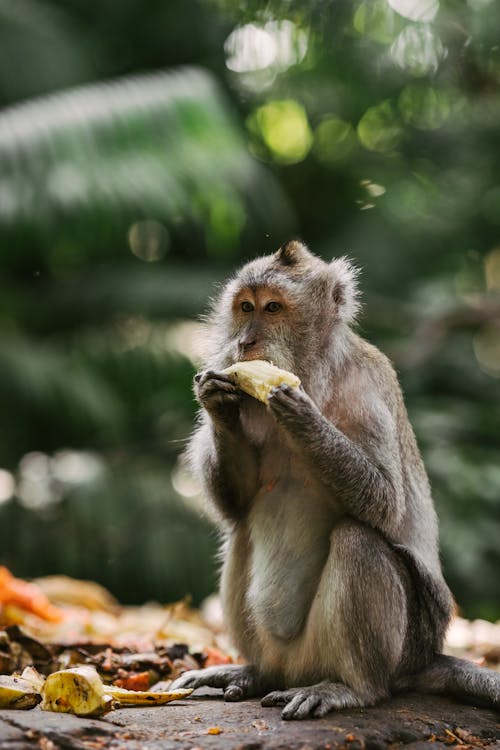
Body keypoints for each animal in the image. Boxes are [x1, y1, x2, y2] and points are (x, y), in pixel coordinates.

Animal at [172, 242, 500, 724]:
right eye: (245, 307)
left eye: (273, 308)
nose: (244, 342)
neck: (313, 370)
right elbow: (236, 502)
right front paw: (219, 404)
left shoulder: (368, 389)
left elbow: (385, 501)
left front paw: (301, 414)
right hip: (287, 654)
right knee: (241, 531)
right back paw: (254, 673)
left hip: (400, 648)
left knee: (356, 540)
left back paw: (352, 688)